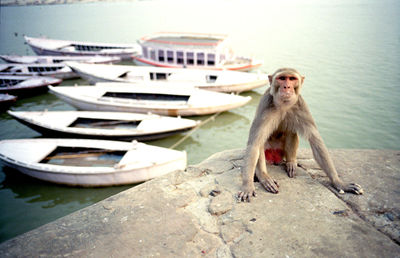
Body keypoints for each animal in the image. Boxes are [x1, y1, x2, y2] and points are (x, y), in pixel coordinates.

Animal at [236, 68, 364, 202]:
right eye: (282, 78)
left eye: (292, 79)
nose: (287, 86)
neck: (283, 105)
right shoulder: (265, 104)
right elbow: (254, 144)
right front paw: (247, 185)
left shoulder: (301, 105)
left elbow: (316, 141)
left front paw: (339, 182)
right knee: (261, 141)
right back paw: (263, 176)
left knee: (291, 130)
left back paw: (291, 162)